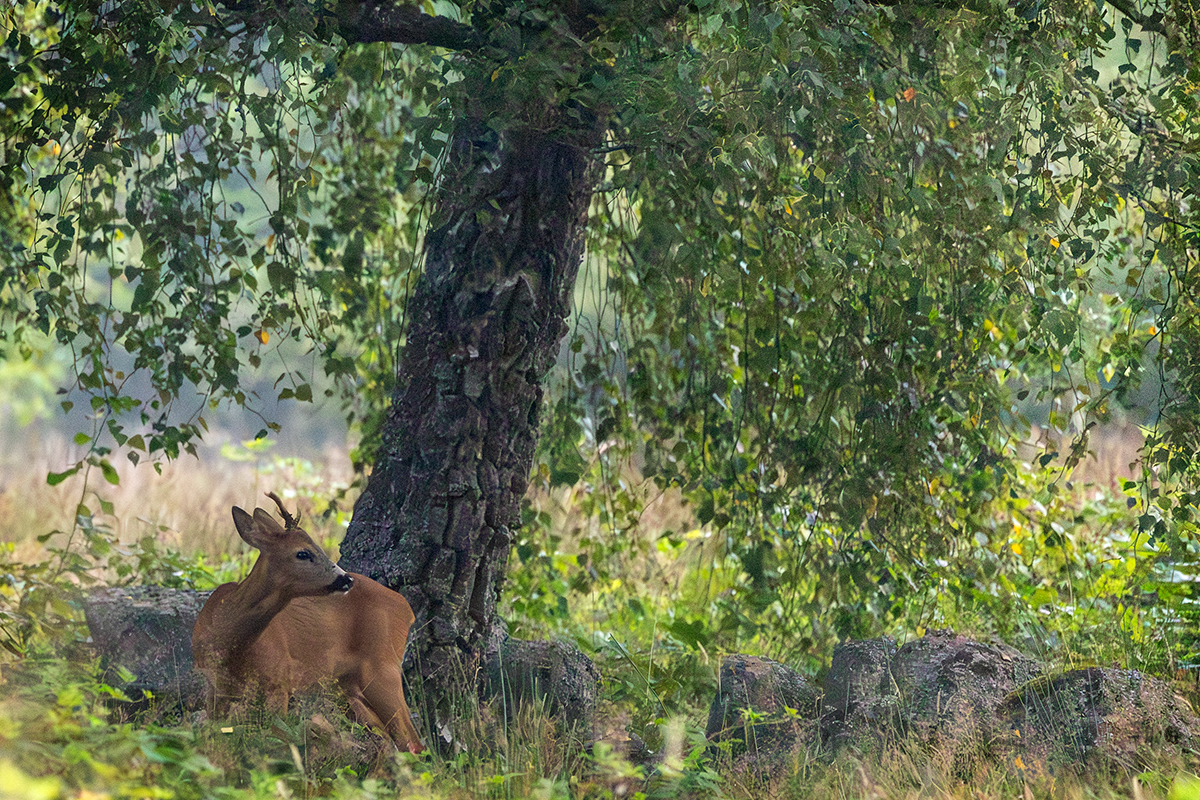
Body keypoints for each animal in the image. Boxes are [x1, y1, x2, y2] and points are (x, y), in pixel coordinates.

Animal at [191, 492, 424, 753]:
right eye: (303, 553)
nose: (345, 579)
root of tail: (405, 608)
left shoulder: (280, 680)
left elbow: (275, 740)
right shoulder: (215, 687)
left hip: (383, 666)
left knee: (412, 742)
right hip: (346, 687)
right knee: (389, 739)